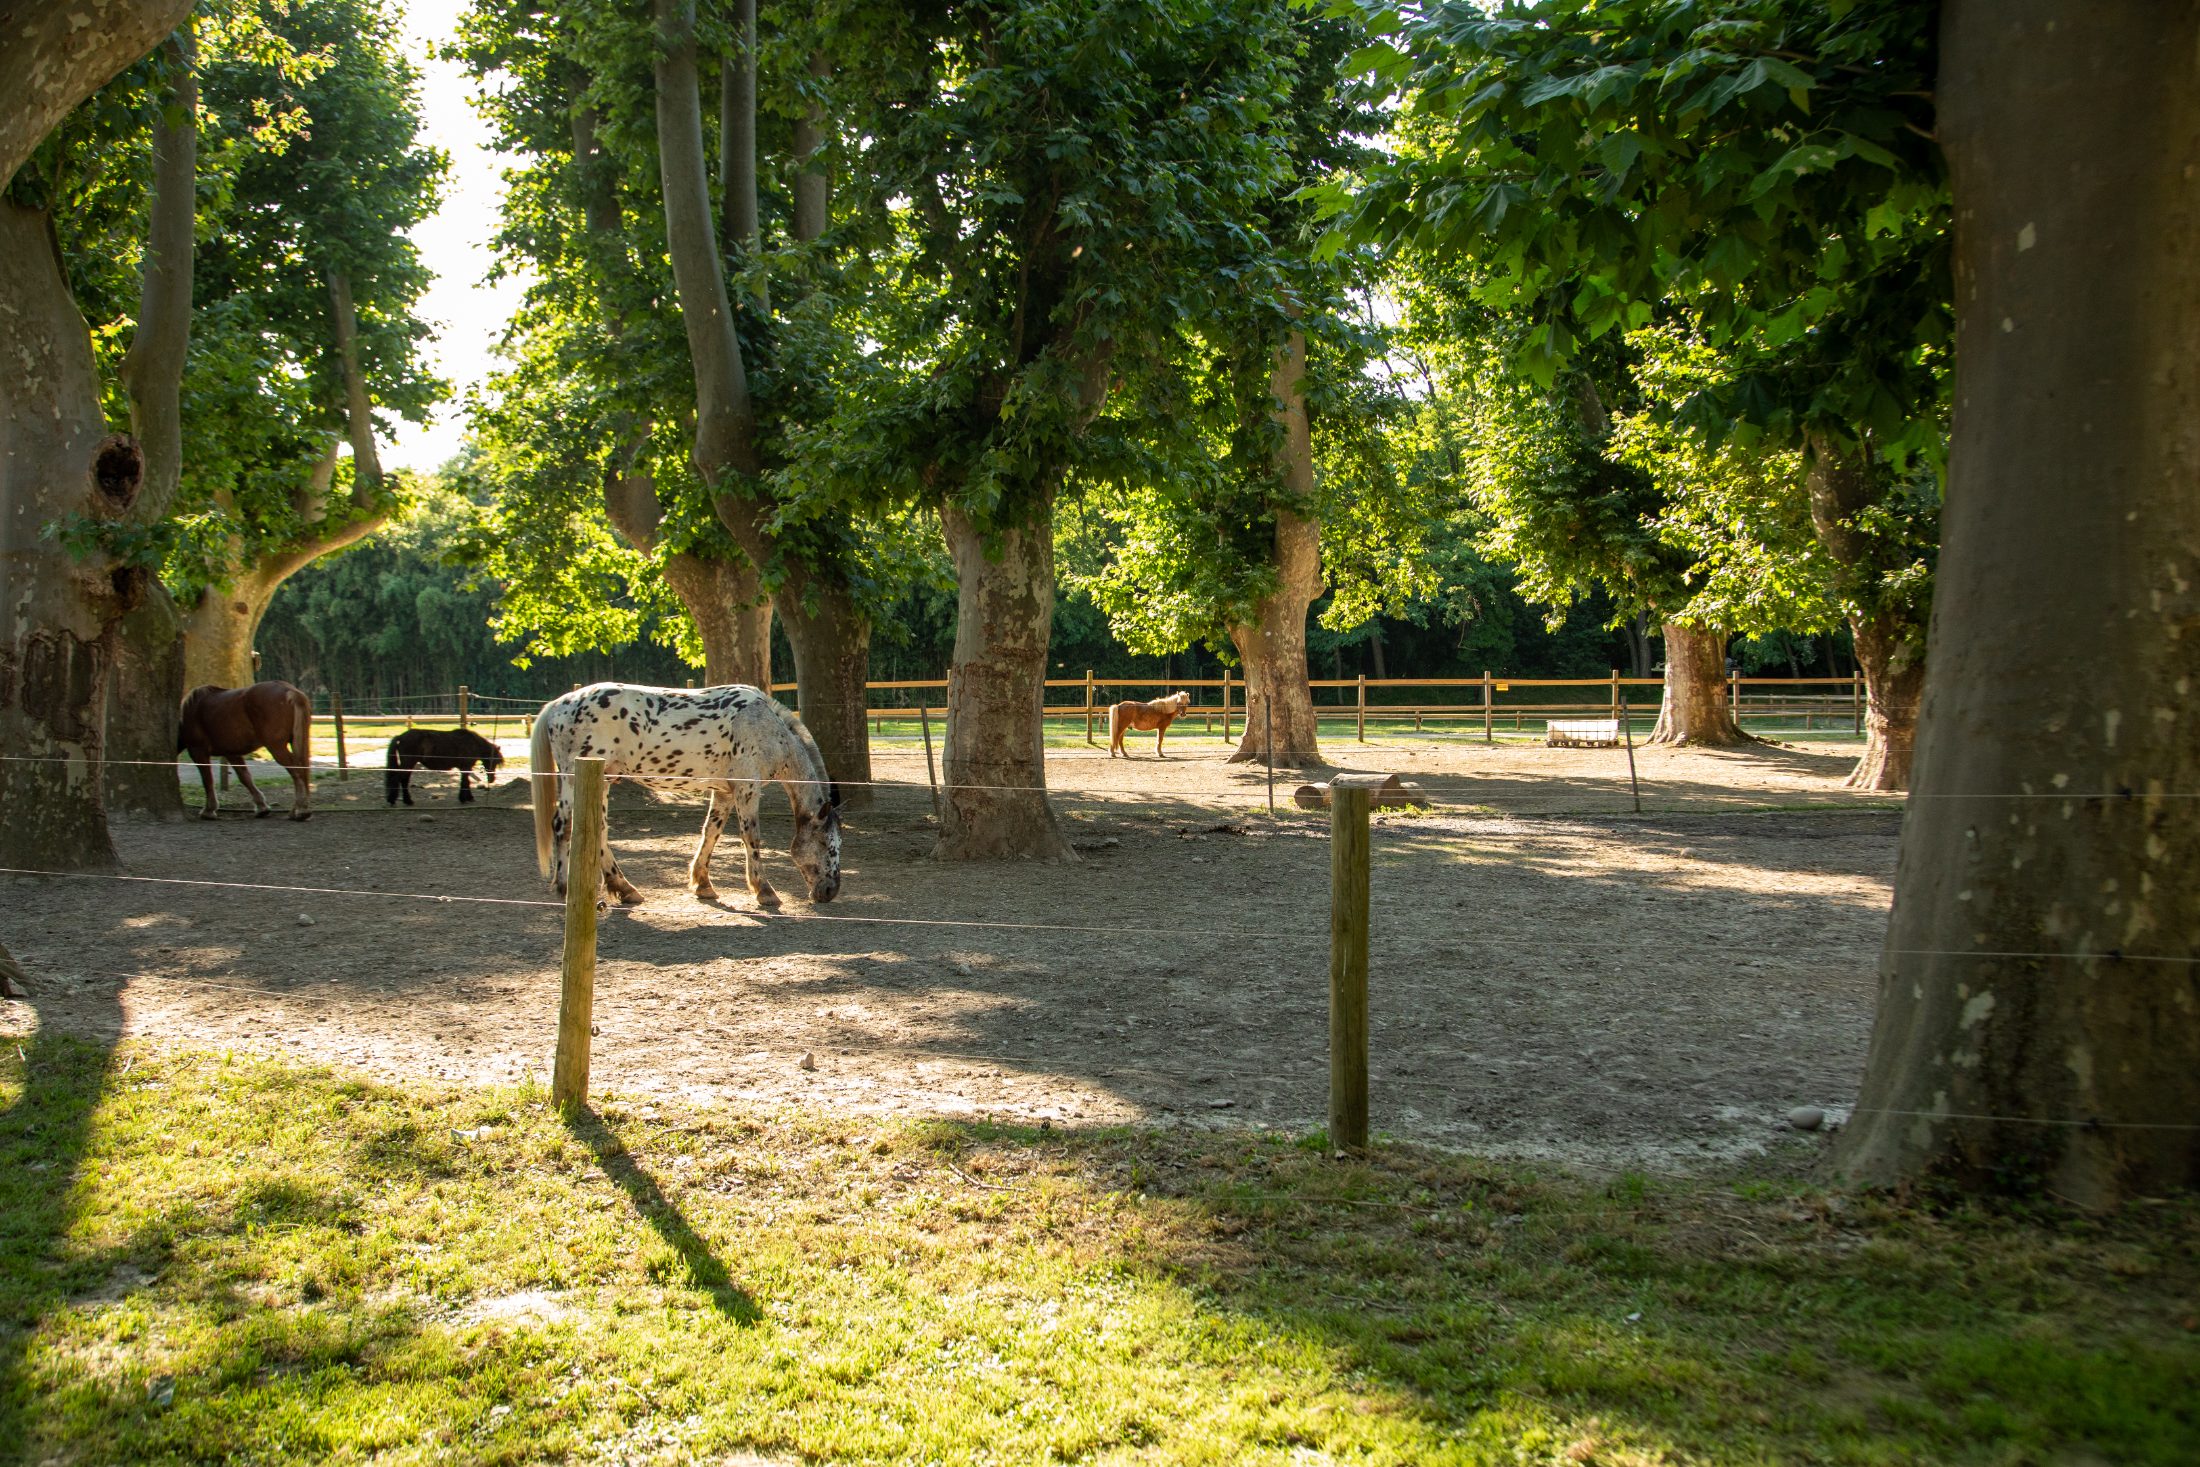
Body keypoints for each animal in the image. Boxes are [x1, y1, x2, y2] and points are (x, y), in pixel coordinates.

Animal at [177, 681, 313, 821]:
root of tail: (289, 691)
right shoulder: (231, 753)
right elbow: (245, 777)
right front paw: (262, 807)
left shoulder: (198, 751)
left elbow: (207, 780)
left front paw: (209, 810)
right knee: (302, 770)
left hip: (276, 747)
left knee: (297, 770)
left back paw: (301, 810)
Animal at [530, 682, 842, 908]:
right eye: (827, 846)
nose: (830, 890)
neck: (766, 727)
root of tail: (559, 705)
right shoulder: (747, 789)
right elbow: (751, 838)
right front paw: (764, 891)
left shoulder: (725, 793)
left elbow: (710, 833)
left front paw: (703, 885)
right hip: (575, 779)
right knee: (563, 826)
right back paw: (565, 889)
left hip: (602, 781)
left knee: (599, 832)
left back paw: (625, 889)